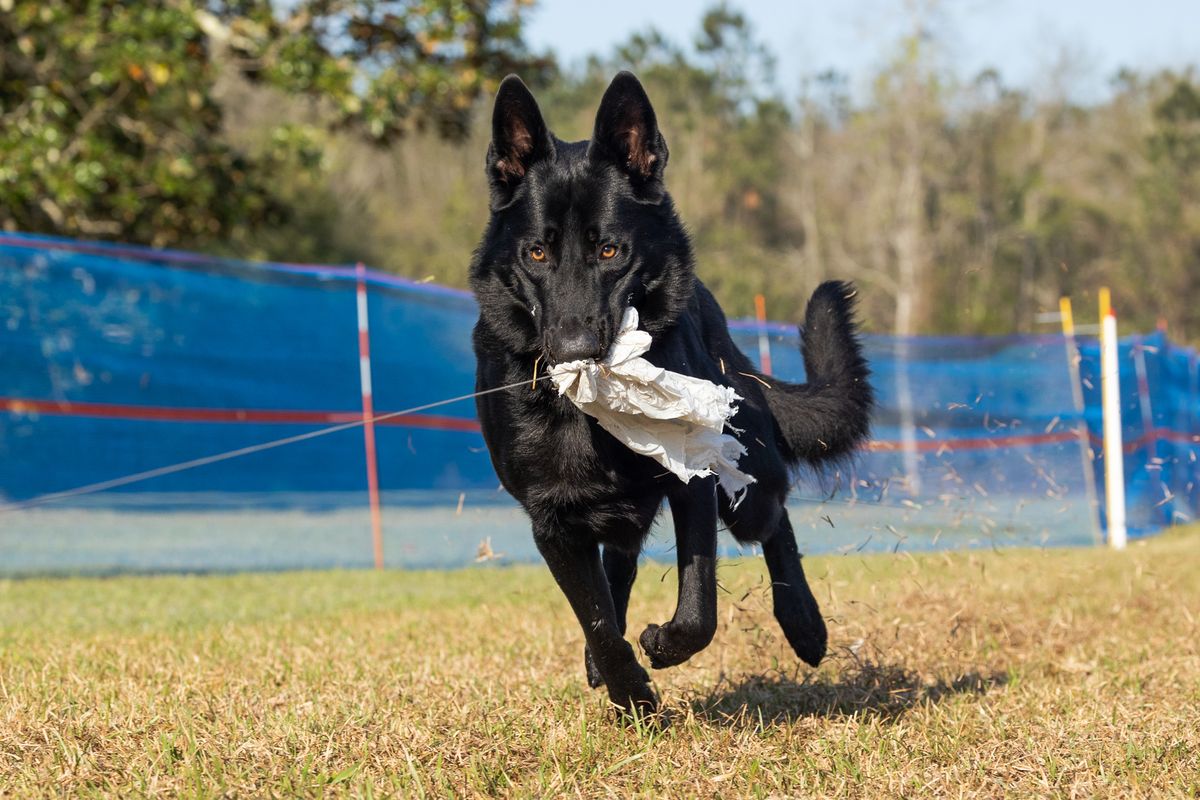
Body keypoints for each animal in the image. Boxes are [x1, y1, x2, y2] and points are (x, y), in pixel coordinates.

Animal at [468, 71, 873, 714]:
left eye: (610, 251)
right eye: (537, 253)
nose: (573, 350)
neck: (592, 416)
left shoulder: (693, 482)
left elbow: (699, 604)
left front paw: (663, 647)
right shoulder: (553, 522)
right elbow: (598, 622)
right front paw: (630, 694)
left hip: (746, 476)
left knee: (773, 517)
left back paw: (805, 624)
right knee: (619, 565)